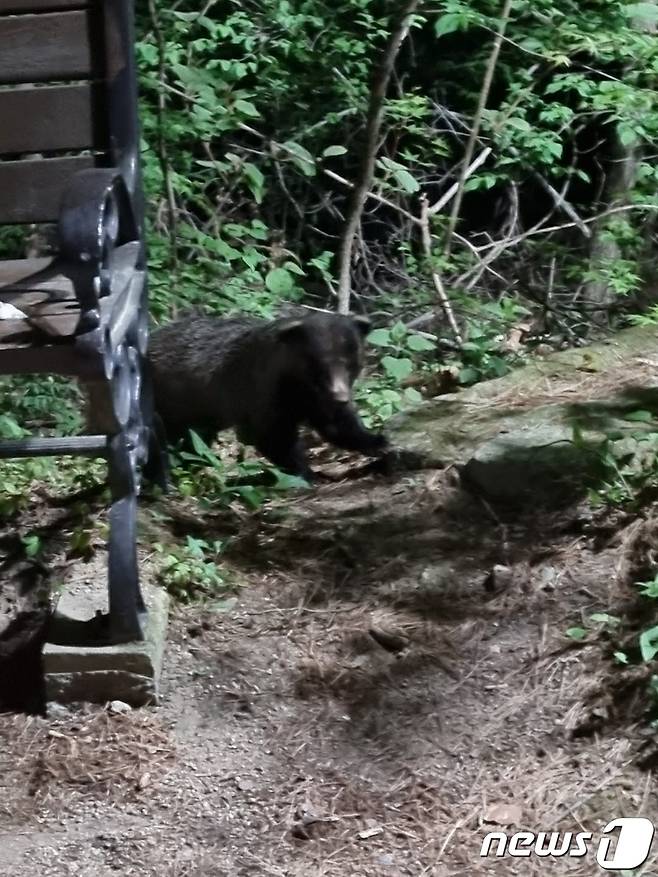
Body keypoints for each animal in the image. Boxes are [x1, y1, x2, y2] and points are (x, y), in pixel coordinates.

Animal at [146, 312, 386, 480]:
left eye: (351, 363)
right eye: (320, 365)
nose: (340, 398)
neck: (299, 384)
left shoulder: (314, 398)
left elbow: (336, 425)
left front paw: (376, 441)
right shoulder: (264, 390)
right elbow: (272, 435)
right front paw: (304, 472)